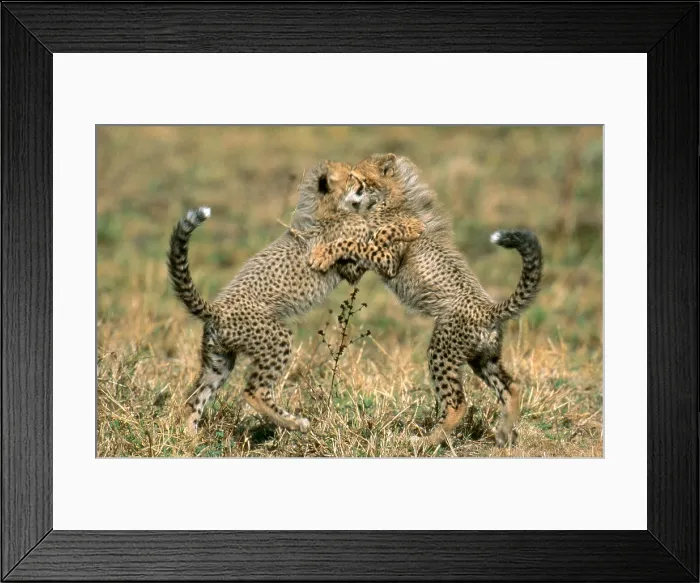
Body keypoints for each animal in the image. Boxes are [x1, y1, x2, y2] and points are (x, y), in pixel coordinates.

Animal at [167, 159, 425, 435]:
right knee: (253, 392)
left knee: (195, 398)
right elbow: (374, 238)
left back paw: (191, 436)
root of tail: (217, 308)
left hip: (218, 362)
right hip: (275, 339)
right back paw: (295, 423)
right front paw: (409, 225)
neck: (331, 208)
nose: (363, 184)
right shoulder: (351, 265)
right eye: (351, 176)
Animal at [309, 153, 543, 447]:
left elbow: (353, 244)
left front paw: (322, 253)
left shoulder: (386, 259)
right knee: (511, 388)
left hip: (442, 352)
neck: (389, 199)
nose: (343, 184)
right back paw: (504, 435)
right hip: (483, 358)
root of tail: (489, 309)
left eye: (357, 176)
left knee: (457, 404)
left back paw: (428, 441)